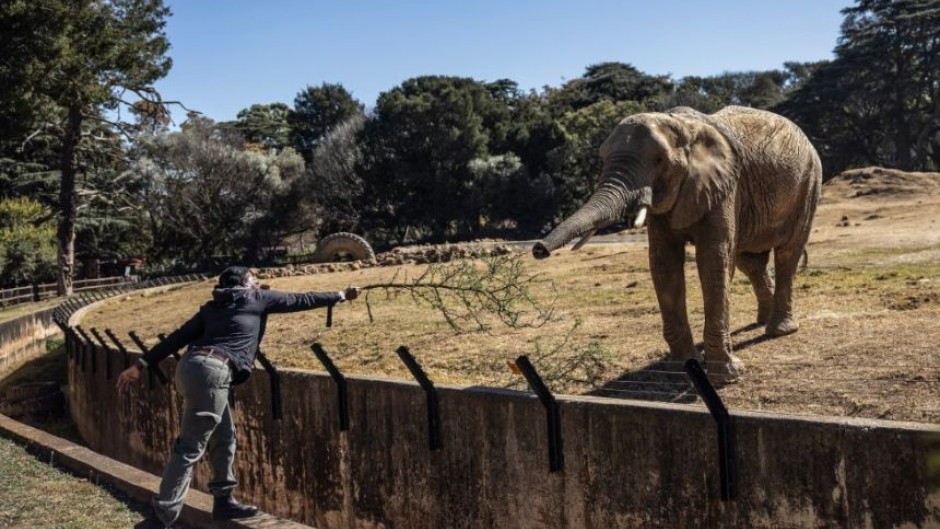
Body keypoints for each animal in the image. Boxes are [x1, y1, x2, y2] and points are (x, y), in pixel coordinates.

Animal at [532, 106, 822, 378]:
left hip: (809, 184)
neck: (681, 126)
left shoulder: (726, 186)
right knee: (749, 262)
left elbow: (714, 260)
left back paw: (779, 330)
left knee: (787, 254)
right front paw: (683, 367)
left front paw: (727, 375)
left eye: (659, 160)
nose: (538, 249)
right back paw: (762, 321)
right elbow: (664, 262)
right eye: (602, 159)